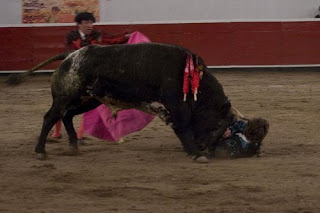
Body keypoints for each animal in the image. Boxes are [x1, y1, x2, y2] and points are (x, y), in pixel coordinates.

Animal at [35, 42, 232, 161]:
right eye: (218, 124)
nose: (205, 147)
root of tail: (71, 55)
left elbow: (180, 128)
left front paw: (192, 151)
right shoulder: (177, 106)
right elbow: (184, 126)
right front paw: (196, 154)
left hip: (88, 100)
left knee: (67, 116)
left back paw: (74, 146)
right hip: (65, 97)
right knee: (50, 117)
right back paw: (40, 151)